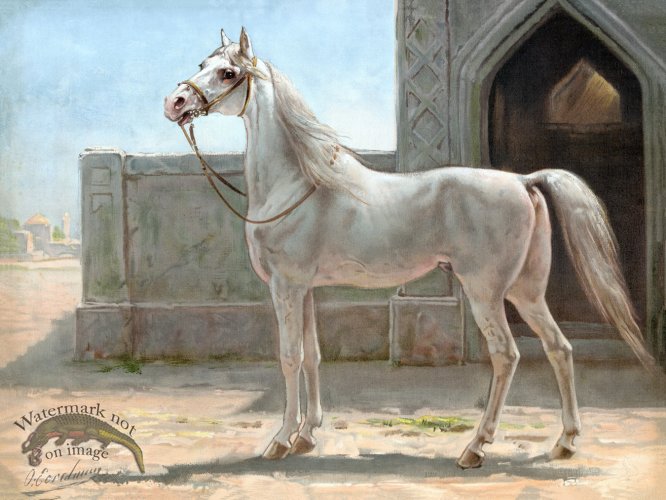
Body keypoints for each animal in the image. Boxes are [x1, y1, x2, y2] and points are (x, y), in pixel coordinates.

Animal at [164, 28, 658, 469]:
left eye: (228, 73)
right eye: (202, 64)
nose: (176, 103)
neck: (299, 184)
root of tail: (523, 180)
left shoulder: (285, 288)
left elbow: (289, 358)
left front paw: (281, 440)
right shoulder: (304, 291)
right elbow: (313, 357)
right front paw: (307, 435)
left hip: (485, 293)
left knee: (507, 355)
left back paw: (475, 448)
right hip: (526, 292)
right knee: (560, 348)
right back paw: (565, 442)